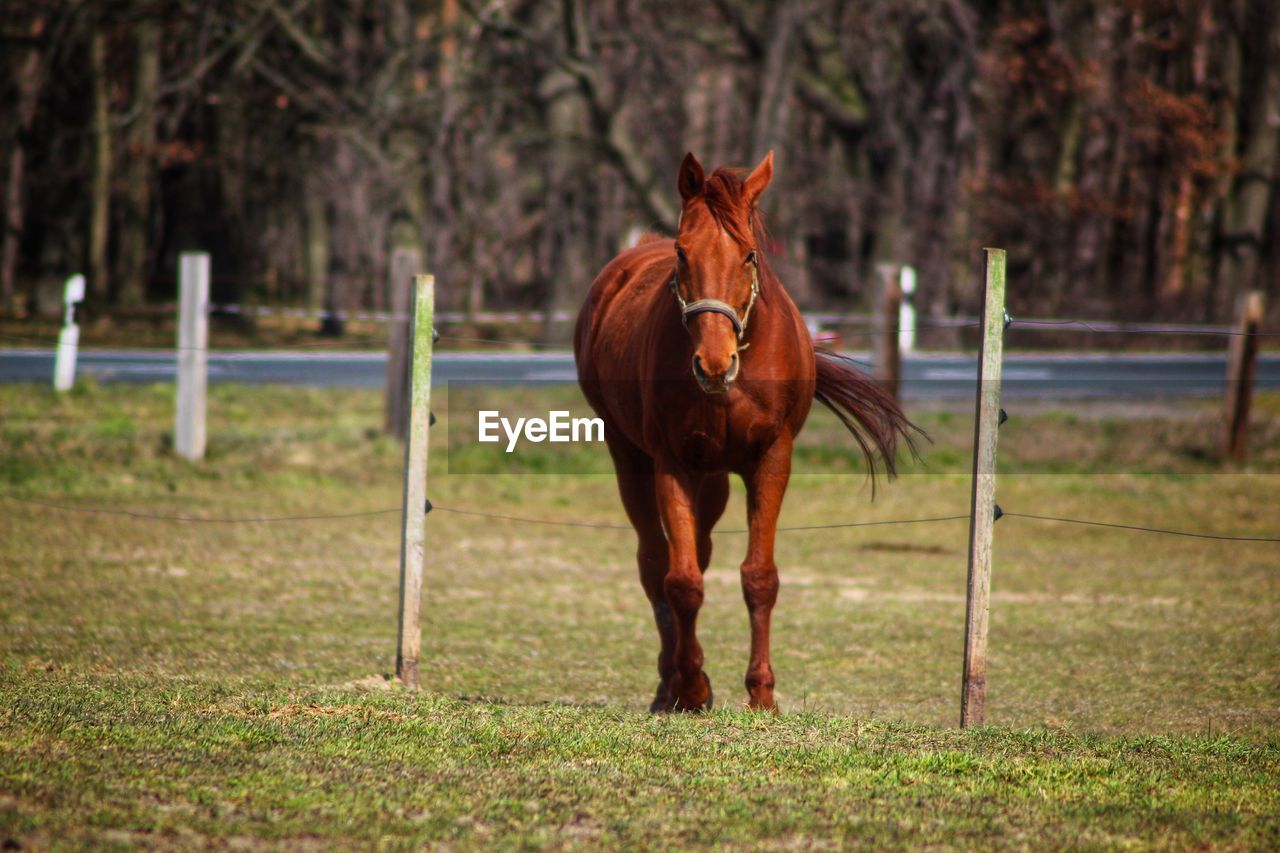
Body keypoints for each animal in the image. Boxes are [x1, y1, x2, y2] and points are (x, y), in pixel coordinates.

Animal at [576, 153, 916, 712]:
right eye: (682, 252)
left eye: (750, 255)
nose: (714, 364)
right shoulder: (670, 462)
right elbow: (681, 580)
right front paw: (693, 687)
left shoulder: (772, 458)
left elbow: (758, 577)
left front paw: (762, 693)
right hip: (629, 456)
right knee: (655, 562)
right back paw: (668, 683)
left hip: (711, 476)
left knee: (698, 550)